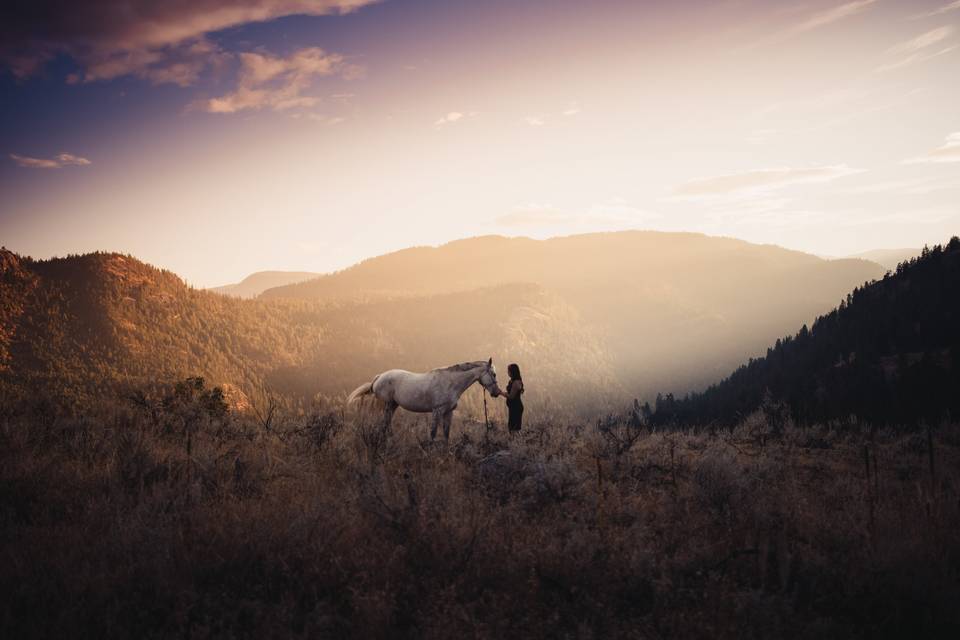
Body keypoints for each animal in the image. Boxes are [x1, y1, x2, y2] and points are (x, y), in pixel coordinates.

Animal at [350, 358, 502, 442]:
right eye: (493, 374)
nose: (496, 393)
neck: (450, 382)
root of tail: (379, 376)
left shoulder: (449, 412)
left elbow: (446, 434)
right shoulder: (437, 411)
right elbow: (433, 433)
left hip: (393, 405)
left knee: (386, 425)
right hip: (387, 405)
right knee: (384, 425)